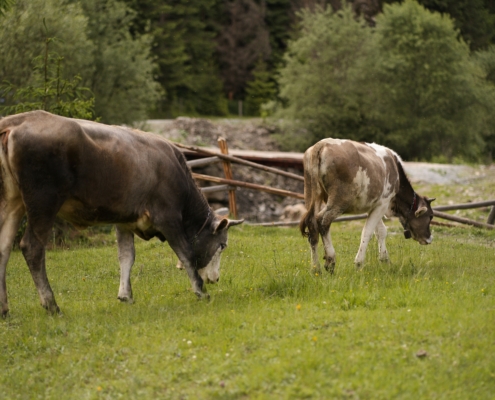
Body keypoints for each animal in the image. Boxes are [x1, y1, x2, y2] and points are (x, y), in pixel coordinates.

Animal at [0, 110, 244, 316]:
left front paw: (126, 295)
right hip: (43, 202)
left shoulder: (124, 221)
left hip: (12, 202)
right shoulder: (168, 217)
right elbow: (186, 253)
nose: (216, 279)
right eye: (223, 245)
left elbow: (126, 256)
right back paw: (51, 305)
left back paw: (4, 309)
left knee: (3, 247)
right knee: (32, 247)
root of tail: (17, 120)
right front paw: (201, 292)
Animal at [298, 139, 434, 274]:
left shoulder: (374, 206)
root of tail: (322, 144)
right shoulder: (383, 203)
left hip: (312, 195)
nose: (429, 238)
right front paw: (359, 263)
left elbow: (381, 231)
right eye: (430, 216)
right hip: (339, 199)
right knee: (322, 220)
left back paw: (315, 268)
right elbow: (367, 232)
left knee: (312, 225)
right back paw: (330, 261)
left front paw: (385, 260)